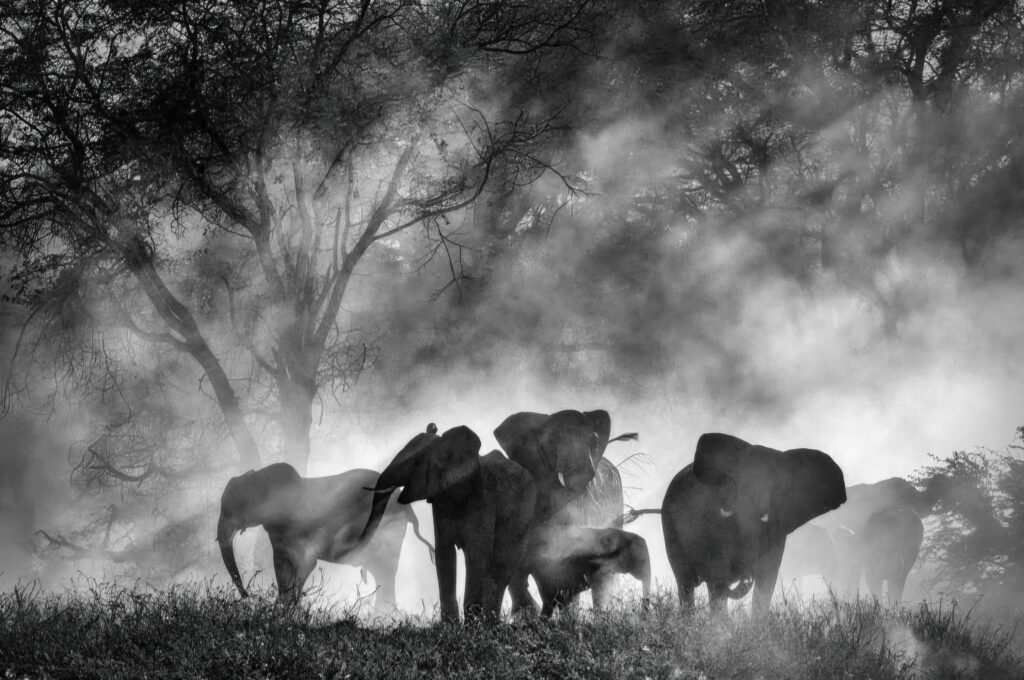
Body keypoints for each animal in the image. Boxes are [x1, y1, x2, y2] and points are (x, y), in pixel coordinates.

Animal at [217, 463, 435, 607]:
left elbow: (304, 564)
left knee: (385, 571)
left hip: (388, 530)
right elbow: (282, 566)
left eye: (236, 508)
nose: (248, 597)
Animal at [360, 424, 536, 622]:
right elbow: (444, 554)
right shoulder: (440, 500)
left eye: (417, 463)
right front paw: (450, 625)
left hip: (523, 516)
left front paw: (472, 625)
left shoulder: (483, 498)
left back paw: (491, 623)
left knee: (502, 565)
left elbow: (476, 555)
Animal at [661, 432, 847, 613]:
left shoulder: (777, 529)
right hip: (670, 527)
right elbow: (718, 576)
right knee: (687, 584)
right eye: (736, 483)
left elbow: (766, 579)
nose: (747, 573)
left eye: (776, 487)